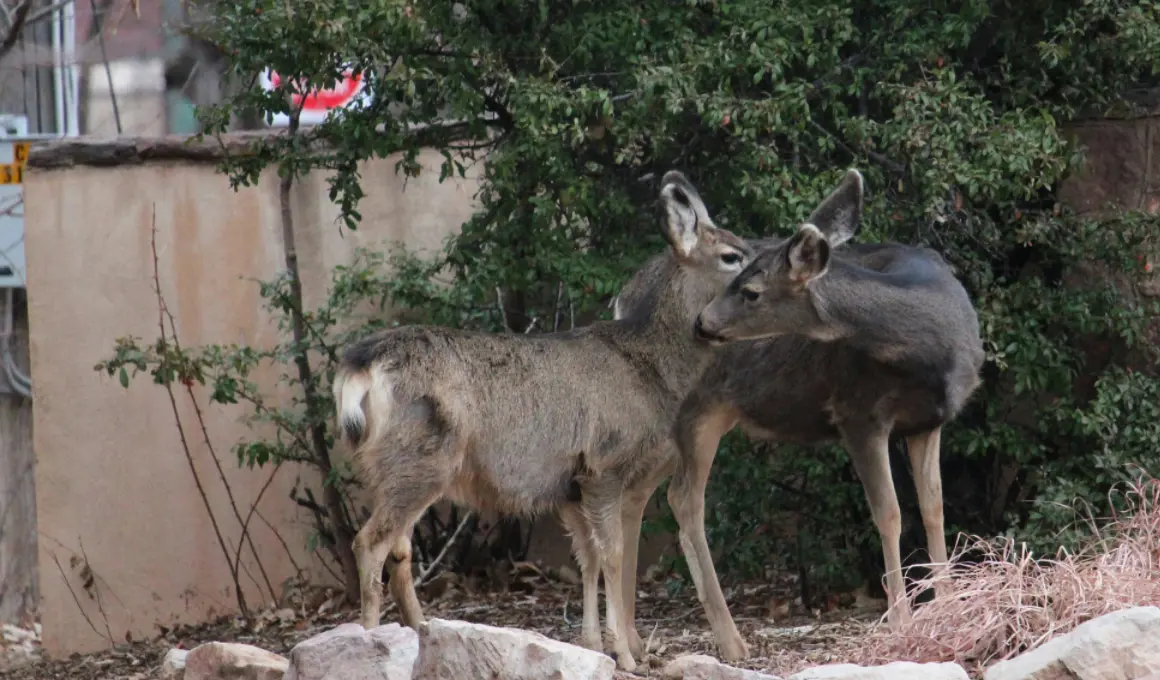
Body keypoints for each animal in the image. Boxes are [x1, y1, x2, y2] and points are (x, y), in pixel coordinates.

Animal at [331, 170, 755, 671]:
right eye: (731, 256)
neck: (648, 367)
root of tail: (360, 366)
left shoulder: (569, 485)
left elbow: (587, 558)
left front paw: (592, 644)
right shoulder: (605, 464)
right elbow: (613, 555)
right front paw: (624, 656)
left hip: (396, 467)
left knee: (399, 546)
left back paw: (421, 633)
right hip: (419, 460)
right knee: (369, 543)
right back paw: (370, 642)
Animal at [607, 168, 985, 663]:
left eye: (751, 290)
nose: (703, 322)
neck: (933, 350)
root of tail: (622, 298)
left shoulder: (930, 421)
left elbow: (934, 508)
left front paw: (949, 605)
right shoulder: (857, 412)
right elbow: (889, 513)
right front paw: (901, 620)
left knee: (635, 494)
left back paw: (633, 638)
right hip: (697, 409)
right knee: (683, 498)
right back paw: (730, 641)